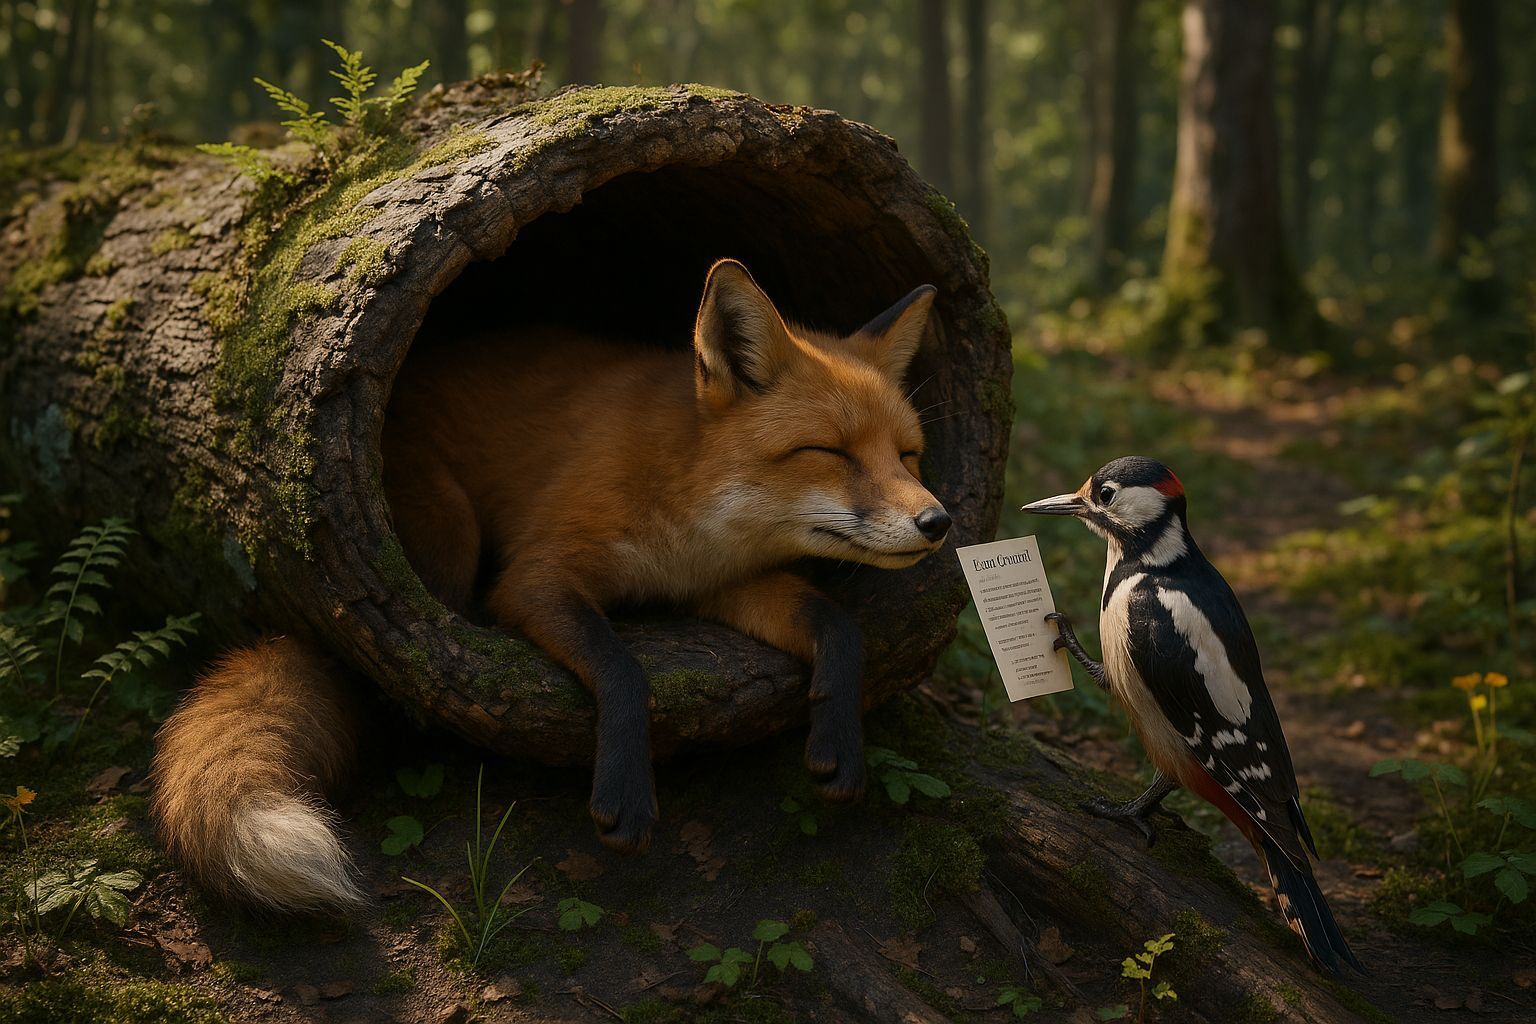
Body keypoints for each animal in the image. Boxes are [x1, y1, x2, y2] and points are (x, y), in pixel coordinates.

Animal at [151, 259, 951, 911]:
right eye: (831, 453)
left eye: (909, 455)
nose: (938, 521)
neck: (686, 501)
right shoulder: (536, 575)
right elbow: (621, 667)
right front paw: (625, 790)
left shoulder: (715, 588)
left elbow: (836, 627)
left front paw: (839, 740)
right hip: (451, 535)